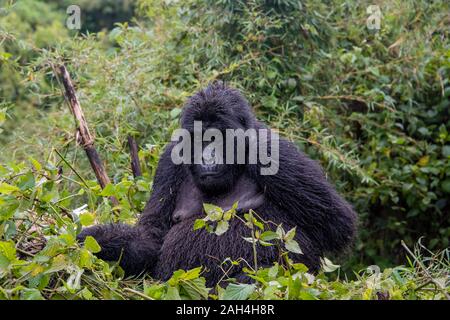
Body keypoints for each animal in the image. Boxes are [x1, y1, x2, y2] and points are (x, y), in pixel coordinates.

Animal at [78, 81, 358, 284]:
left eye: (218, 138)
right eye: (200, 139)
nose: (208, 157)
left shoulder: (274, 149)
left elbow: (336, 223)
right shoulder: (169, 161)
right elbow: (152, 236)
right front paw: (94, 240)